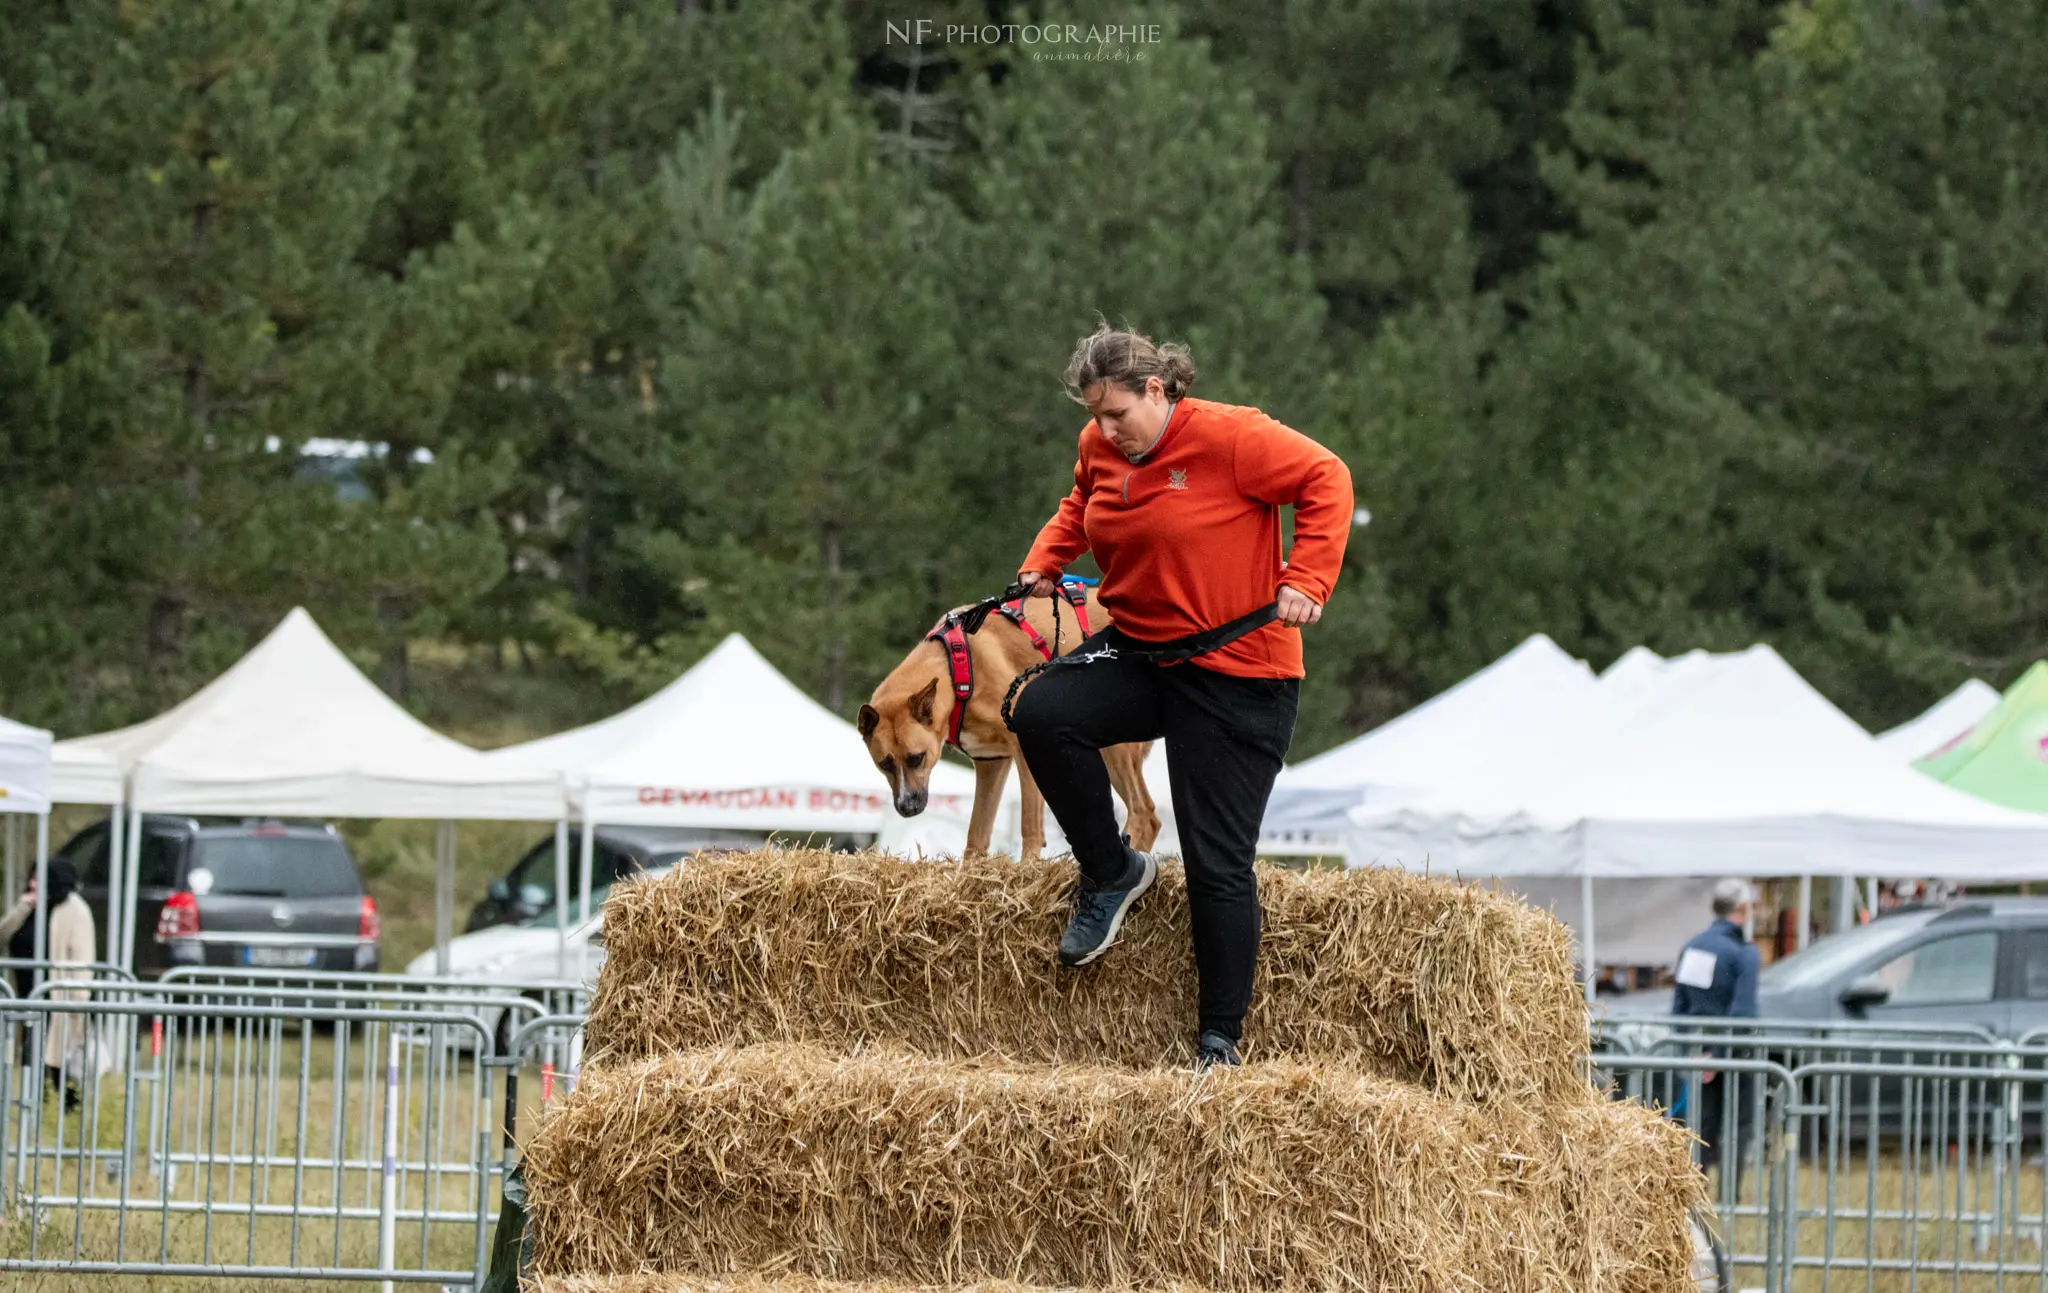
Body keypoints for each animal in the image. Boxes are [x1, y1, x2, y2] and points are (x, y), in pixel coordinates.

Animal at [856, 590, 1163, 864]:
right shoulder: (991, 762)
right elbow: (976, 834)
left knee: (1143, 812)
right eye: (884, 764)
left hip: (1114, 748)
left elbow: (1029, 824)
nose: (907, 808)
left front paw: (1027, 867)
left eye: (917, 758)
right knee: (1151, 818)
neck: (958, 672)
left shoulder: (1023, 749)